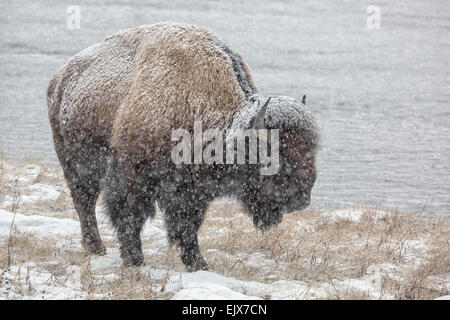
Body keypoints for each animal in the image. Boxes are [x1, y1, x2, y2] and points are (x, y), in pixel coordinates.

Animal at [47, 22, 318, 272]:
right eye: (275, 156)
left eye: (311, 149)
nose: (301, 200)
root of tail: (59, 79)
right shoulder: (131, 176)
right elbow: (129, 215)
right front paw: (135, 260)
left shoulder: (191, 190)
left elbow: (187, 225)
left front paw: (198, 263)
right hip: (76, 166)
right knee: (84, 203)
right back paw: (96, 247)